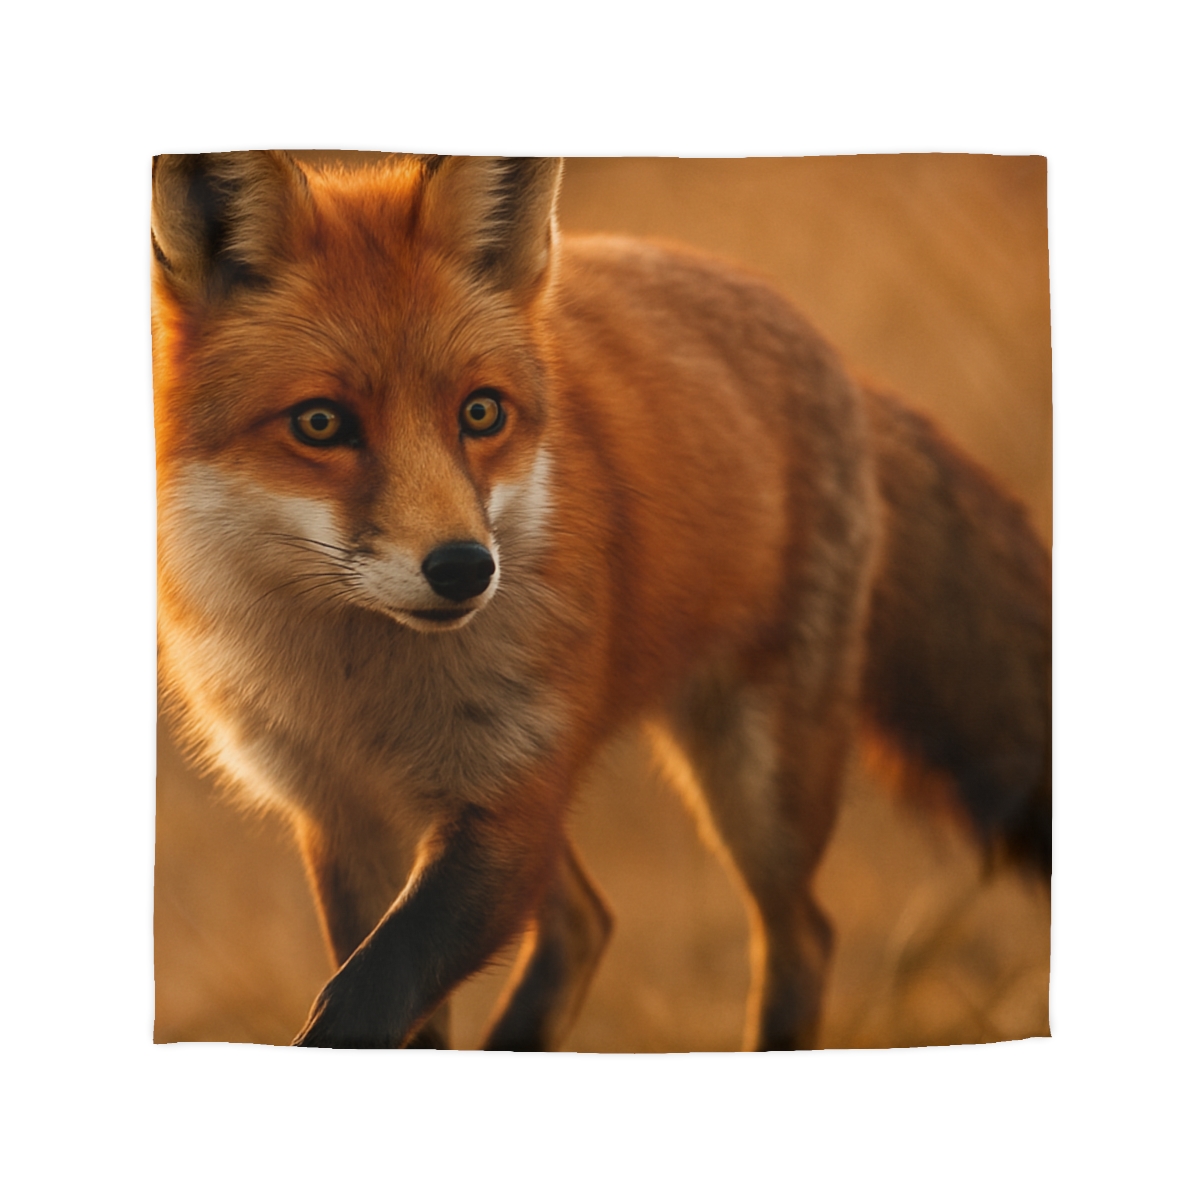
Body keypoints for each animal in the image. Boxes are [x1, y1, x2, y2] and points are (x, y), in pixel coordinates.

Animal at [152, 152, 1051, 1051]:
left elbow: (366, 997)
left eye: (481, 412)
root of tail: (827, 349)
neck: (363, 690)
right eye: (320, 423)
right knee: (585, 923)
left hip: (756, 784)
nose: (465, 569)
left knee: (798, 936)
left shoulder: (510, 797)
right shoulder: (345, 817)